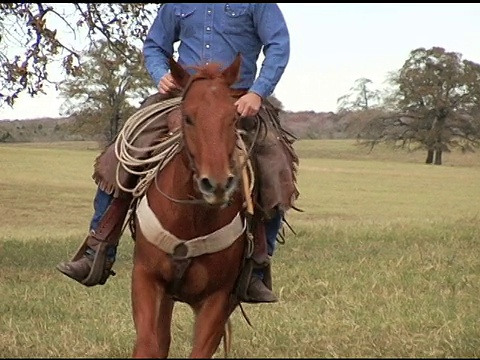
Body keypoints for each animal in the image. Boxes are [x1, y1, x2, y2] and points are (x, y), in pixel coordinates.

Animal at [131, 54, 251, 358]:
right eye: (188, 117)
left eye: (233, 118)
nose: (216, 184)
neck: (190, 218)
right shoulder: (146, 279)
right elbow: (148, 345)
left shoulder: (217, 298)